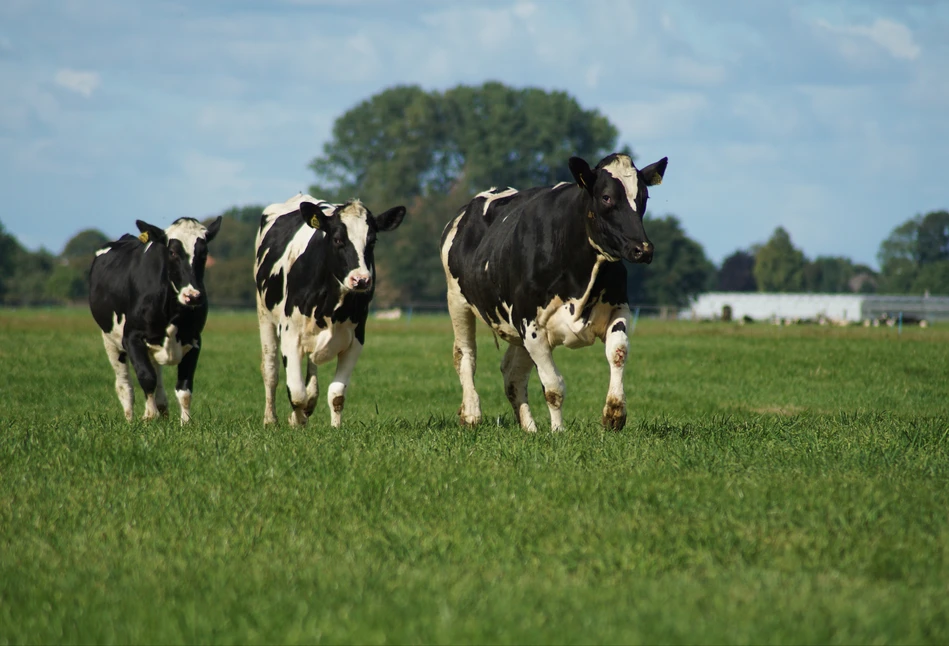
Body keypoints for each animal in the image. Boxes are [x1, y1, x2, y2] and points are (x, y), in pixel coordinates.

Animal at [88, 215, 222, 422]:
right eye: (172, 252)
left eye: (204, 253)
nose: (192, 296)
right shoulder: (132, 337)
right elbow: (146, 377)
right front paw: (149, 415)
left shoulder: (194, 339)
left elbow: (184, 387)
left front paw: (186, 422)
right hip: (110, 341)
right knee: (124, 385)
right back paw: (130, 419)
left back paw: (162, 407)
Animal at [256, 191, 408, 430]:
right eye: (337, 239)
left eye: (372, 241)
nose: (361, 280)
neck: (331, 306)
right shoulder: (290, 334)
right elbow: (296, 393)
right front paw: (297, 421)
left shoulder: (356, 339)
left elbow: (336, 394)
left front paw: (335, 427)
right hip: (264, 315)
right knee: (271, 369)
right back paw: (271, 419)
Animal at [438, 154, 668, 432]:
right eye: (606, 197)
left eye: (644, 197)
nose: (642, 249)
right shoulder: (531, 325)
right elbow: (553, 387)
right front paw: (558, 431)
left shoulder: (618, 307)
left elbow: (618, 352)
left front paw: (614, 413)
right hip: (457, 301)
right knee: (465, 355)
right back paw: (472, 414)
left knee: (512, 373)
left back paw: (529, 428)